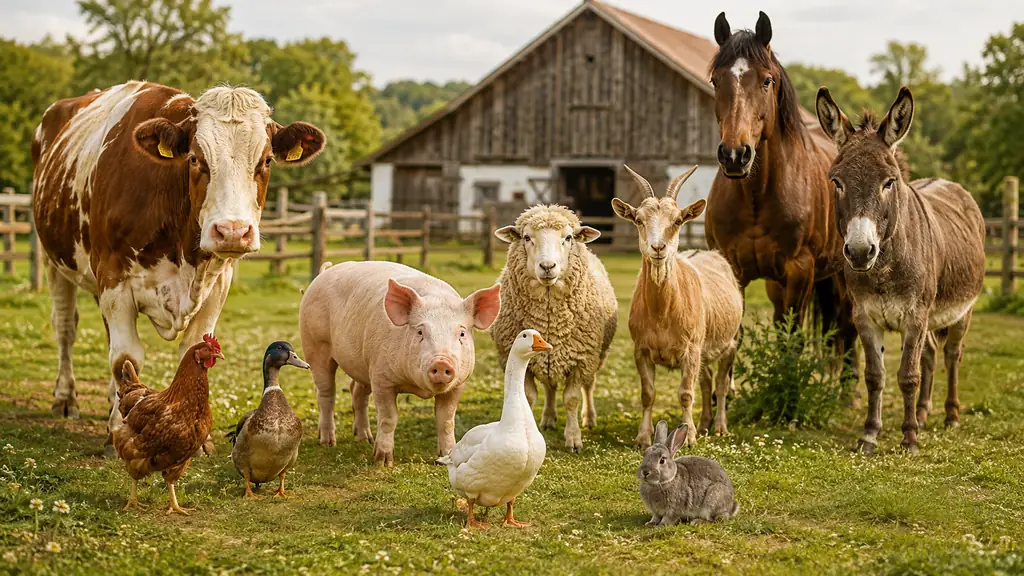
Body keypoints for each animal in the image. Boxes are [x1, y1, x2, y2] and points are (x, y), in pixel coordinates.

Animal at [31, 81, 326, 457]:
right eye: (196, 158)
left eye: (267, 160)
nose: (233, 231)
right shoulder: (113, 276)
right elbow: (125, 356)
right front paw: (116, 431)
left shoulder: (218, 283)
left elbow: (188, 350)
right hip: (54, 260)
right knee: (66, 328)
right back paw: (66, 398)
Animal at [491, 205, 618, 452]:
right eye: (526, 237)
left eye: (568, 238)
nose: (547, 266)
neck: (550, 321)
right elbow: (529, 396)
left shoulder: (581, 358)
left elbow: (572, 399)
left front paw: (574, 439)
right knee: (550, 387)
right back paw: (549, 419)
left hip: (598, 355)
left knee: (589, 386)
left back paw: (589, 418)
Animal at [612, 166, 744, 449]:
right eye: (639, 220)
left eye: (677, 221)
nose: (658, 247)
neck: (663, 313)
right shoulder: (641, 349)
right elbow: (648, 393)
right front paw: (642, 437)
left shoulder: (691, 351)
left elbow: (685, 394)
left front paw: (690, 437)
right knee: (706, 382)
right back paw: (704, 423)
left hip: (729, 343)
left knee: (720, 384)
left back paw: (719, 427)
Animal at [815, 86, 986, 454]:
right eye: (836, 182)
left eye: (889, 182)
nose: (860, 251)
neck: (883, 269)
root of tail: (948, 182)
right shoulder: (865, 317)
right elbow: (875, 376)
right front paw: (869, 434)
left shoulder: (915, 317)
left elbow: (908, 376)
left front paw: (909, 439)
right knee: (931, 354)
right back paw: (922, 414)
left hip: (962, 311)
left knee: (952, 354)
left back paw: (950, 416)